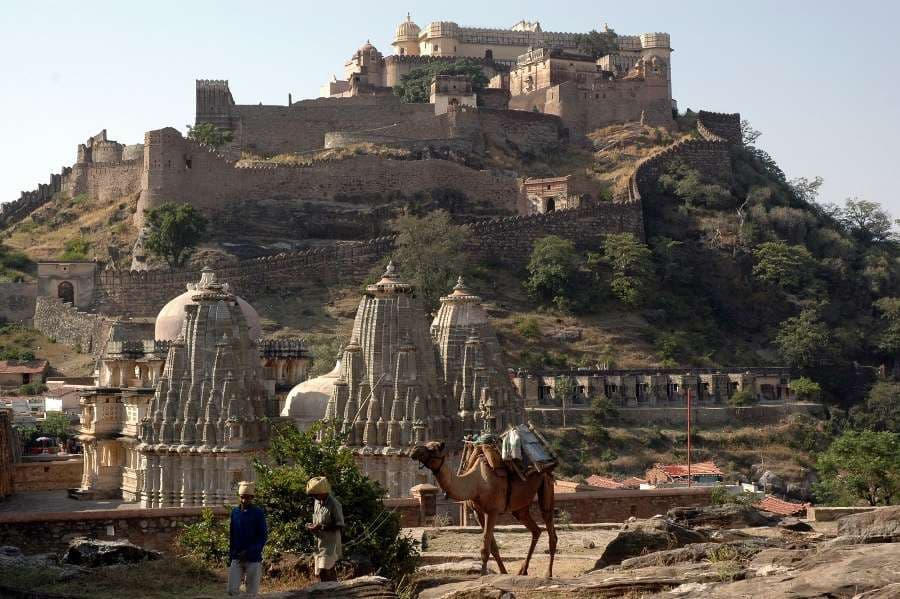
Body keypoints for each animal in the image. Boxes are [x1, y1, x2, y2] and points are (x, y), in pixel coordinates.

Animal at [414, 440, 556, 576]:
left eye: (433, 448)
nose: (414, 450)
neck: (476, 482)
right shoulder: (478, 512)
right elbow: (492, 546)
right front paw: (503, 572)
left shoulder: (492, 511)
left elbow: (485, 548)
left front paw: (483, 575)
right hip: (520, 507)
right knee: (535, 530)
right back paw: (523, 571)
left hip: (546, 484)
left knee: (550, 527)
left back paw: (548, 573)